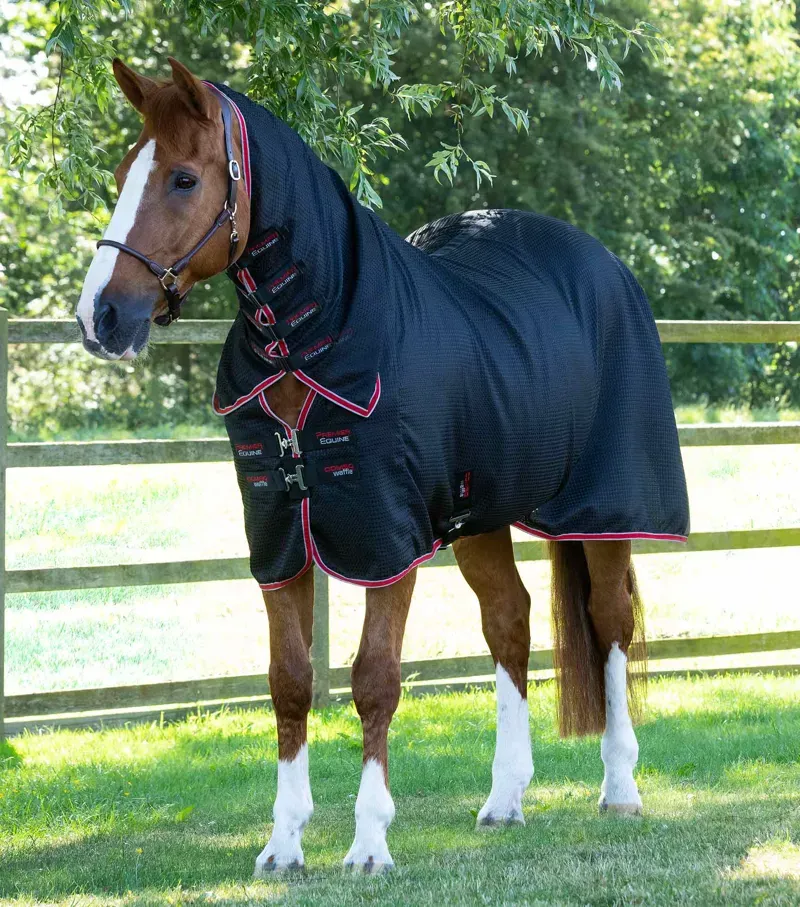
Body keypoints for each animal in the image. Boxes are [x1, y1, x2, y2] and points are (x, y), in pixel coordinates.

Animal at [76, 57, 689, 874]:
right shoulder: (282, 539)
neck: (313, 342)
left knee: (610, 620)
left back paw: (620, 787)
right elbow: (290, 683)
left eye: (181, 178)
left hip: (607, 508)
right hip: (479, 517)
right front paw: (283, 843)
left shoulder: (385, 540)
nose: (100, 318)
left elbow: (373, 680)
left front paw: (369, 842)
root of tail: (605, 264)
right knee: (510, 621)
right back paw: (504, 799)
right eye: (122, 173)